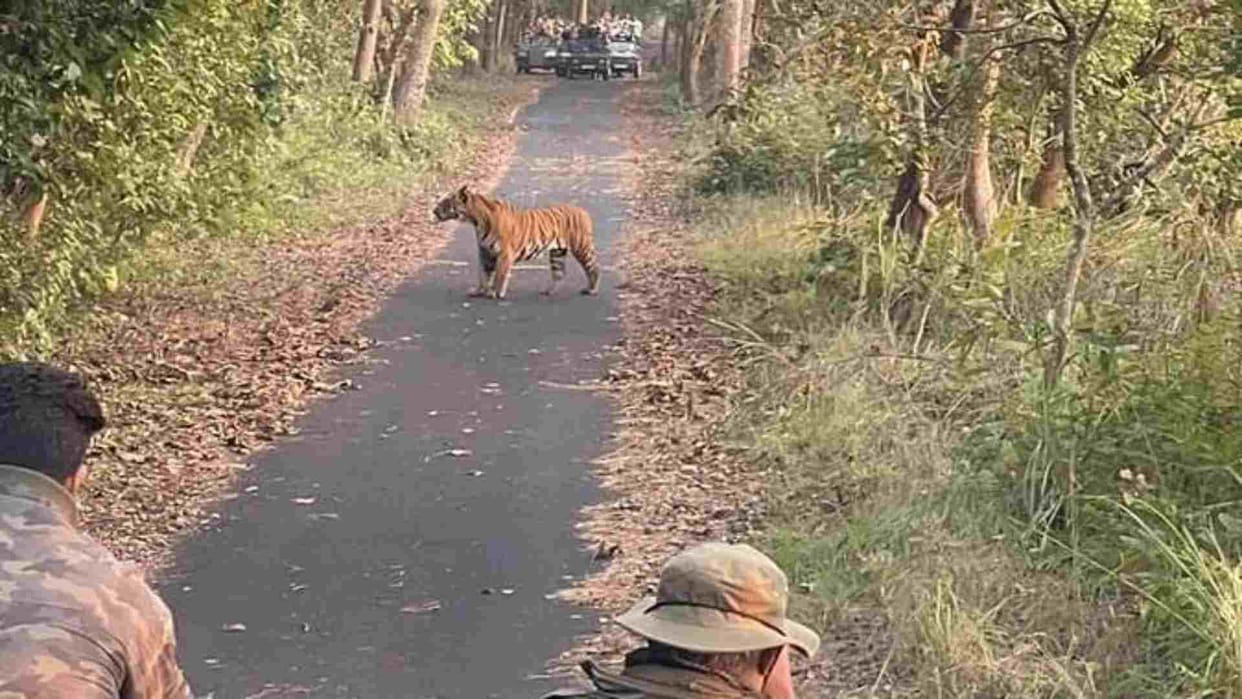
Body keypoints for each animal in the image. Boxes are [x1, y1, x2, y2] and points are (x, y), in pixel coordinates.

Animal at [432, 185, 602, 300]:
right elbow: (482, 274)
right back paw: (548, 291)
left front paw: (495, 293)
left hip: (581, 248)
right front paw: (479, 291)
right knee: (559, 274)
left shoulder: (504, 253)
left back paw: (592, 290)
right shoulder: (485, 252)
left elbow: (499, 274)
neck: (476, 221)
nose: (434, 210)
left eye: (446, 202)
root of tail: (583, 211)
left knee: (593, 268)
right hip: (557, 253)